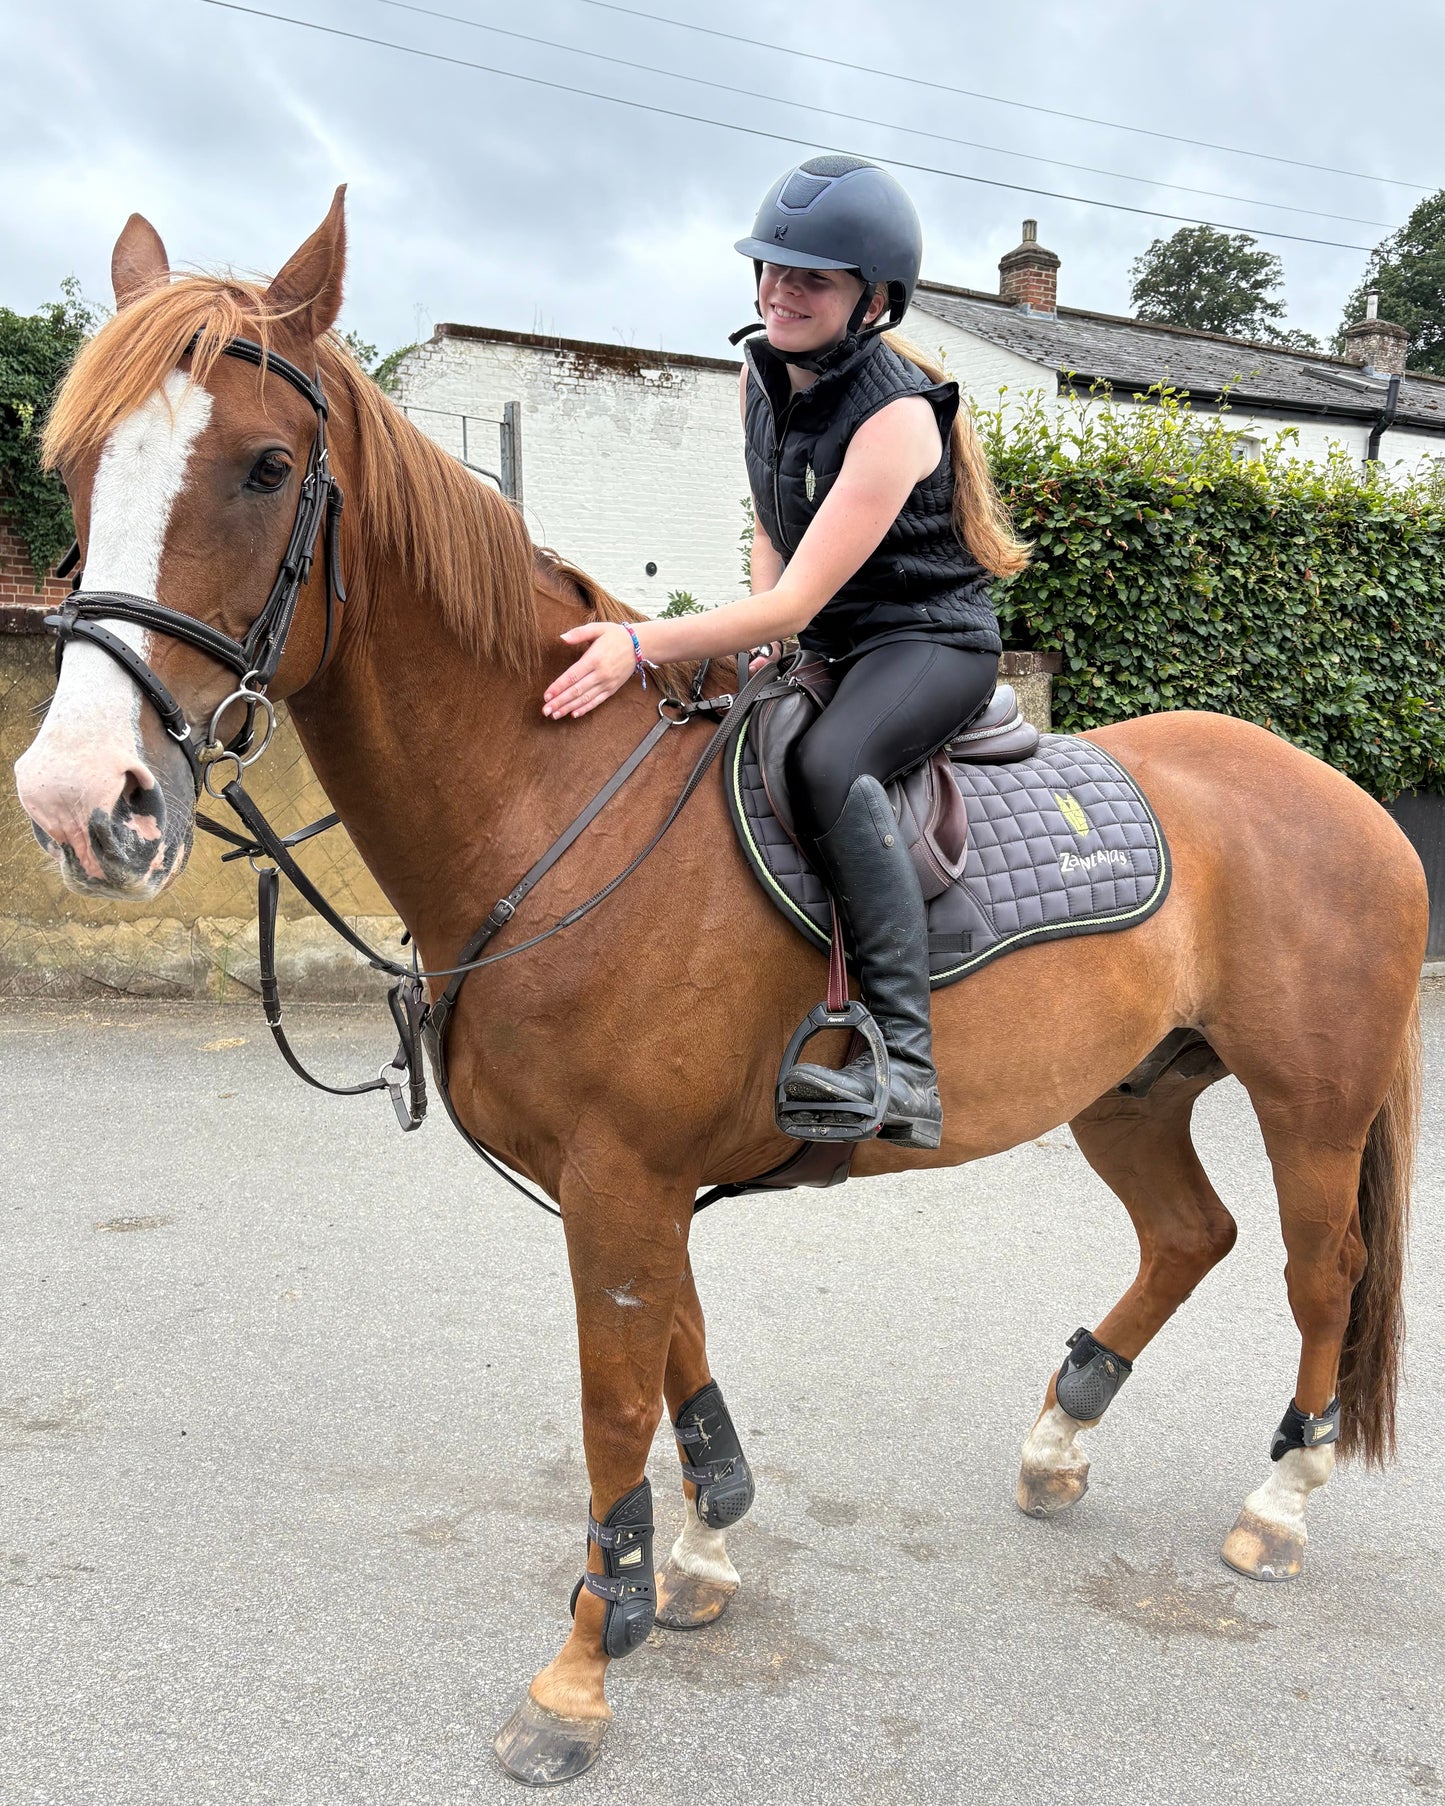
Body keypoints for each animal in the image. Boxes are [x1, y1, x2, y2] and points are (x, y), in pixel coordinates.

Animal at [13, 191, 1427, 1786]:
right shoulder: (627, 1183)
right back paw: (1060, 1437)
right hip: (1130, 1088)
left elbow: (613, 1405)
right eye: (74, 466)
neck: (557, 801)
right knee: (1192, 1236)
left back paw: (1280, 1501)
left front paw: (578, 1673)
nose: (80, 803)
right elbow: (683, 1360)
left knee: (1320, 1272)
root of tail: (1343, 795)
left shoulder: (623, 1179)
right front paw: (692, 1559)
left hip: (1311, 1100)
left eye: (263, 467)